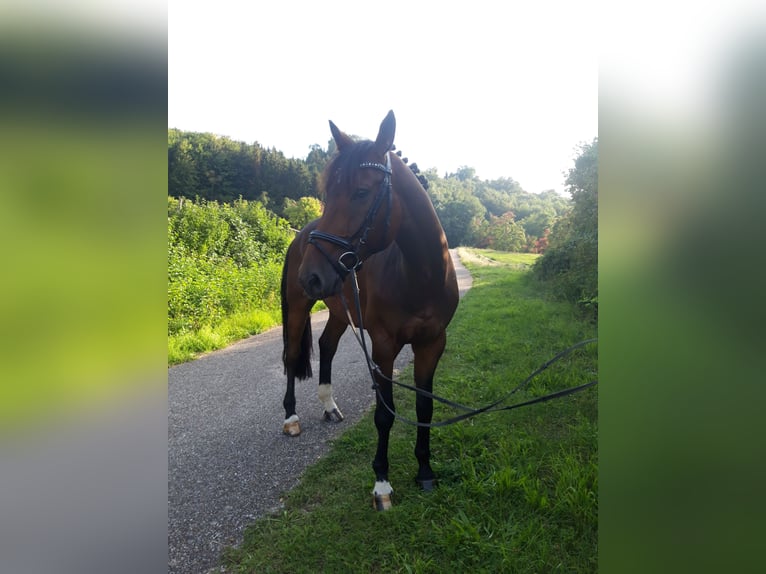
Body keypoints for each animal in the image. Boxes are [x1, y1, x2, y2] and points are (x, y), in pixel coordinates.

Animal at [280, 110, 459, 510]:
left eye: (361, 192)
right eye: (327, 194)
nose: (310, 275)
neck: (418, 275)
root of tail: (302, 235)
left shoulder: (433, 344)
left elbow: (424, 408)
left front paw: (425, 471)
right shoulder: (383, 347)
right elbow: (384, 414)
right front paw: (382, 484)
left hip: (338, 310)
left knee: (327, 346)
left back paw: (329, 407)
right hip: (298, 307)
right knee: (292, 355)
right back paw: (291, 418)